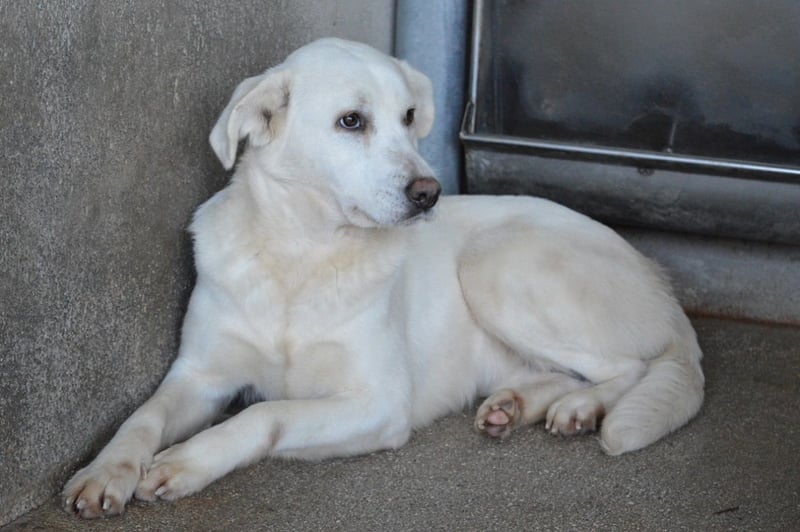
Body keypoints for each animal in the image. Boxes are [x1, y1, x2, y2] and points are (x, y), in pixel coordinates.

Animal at [63, 38, 704, 518]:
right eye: (352, 121)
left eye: (409, 118)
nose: (431, 194)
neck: (301, 256)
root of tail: (661, 284)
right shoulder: (198, 376)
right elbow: (143, 417)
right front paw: (105, 471)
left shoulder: (378, 403)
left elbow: (264, 414)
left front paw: (188, 461)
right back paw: (515, 404)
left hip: (496, 264)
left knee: (629, 368)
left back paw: (582, 409)